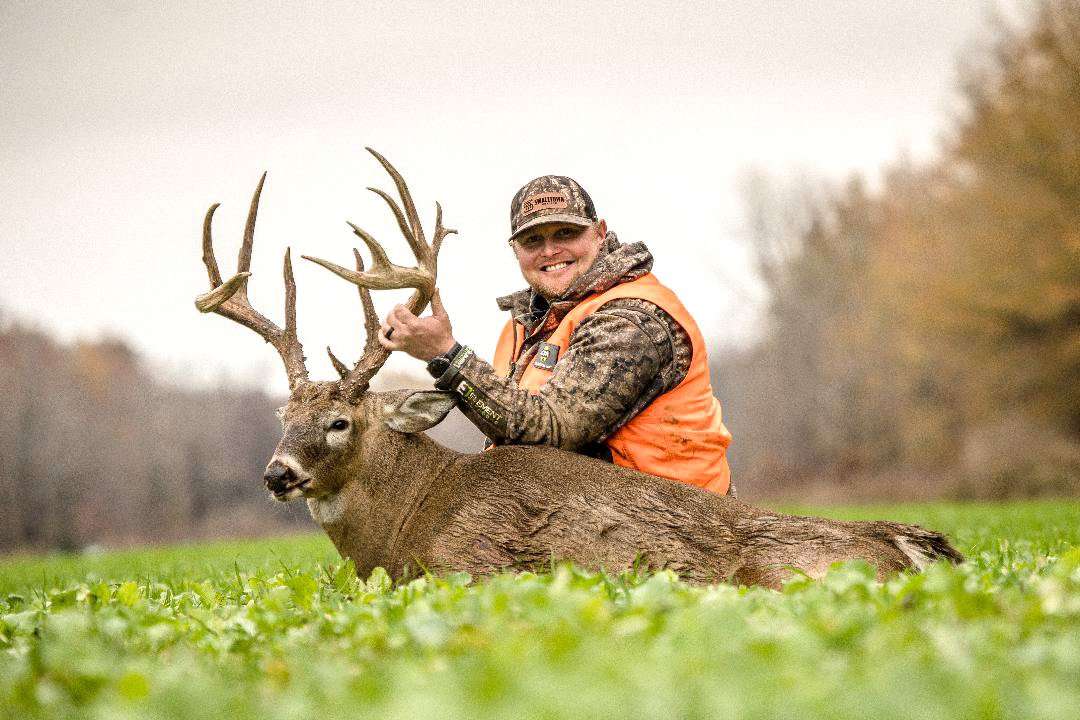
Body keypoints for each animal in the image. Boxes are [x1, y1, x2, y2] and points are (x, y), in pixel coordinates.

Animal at [194, 148, 964, 590]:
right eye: (283, 415)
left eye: (339, 421)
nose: (277, 473)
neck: (408, 518)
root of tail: (914, 544)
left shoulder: (467, 574)